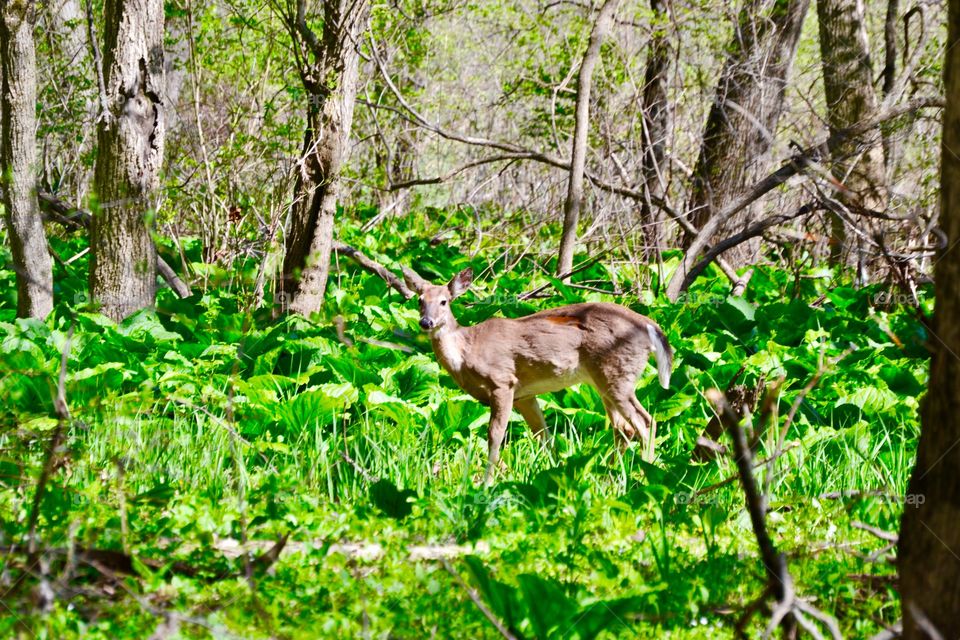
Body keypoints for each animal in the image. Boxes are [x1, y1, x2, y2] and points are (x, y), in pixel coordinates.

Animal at [402, 266, 673, 483]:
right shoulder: (525, 395)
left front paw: (486, 482)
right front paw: (556, 473)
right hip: (605, 380)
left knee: (645, 422)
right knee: (623, 428)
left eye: (444, 301)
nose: (426, 322)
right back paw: (610, 476)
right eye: (420, 300)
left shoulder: (503, 382)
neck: (466, 351)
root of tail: (650, 326)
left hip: (618, 375)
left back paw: (645, 475)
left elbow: (495, 434)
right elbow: (544, 435)